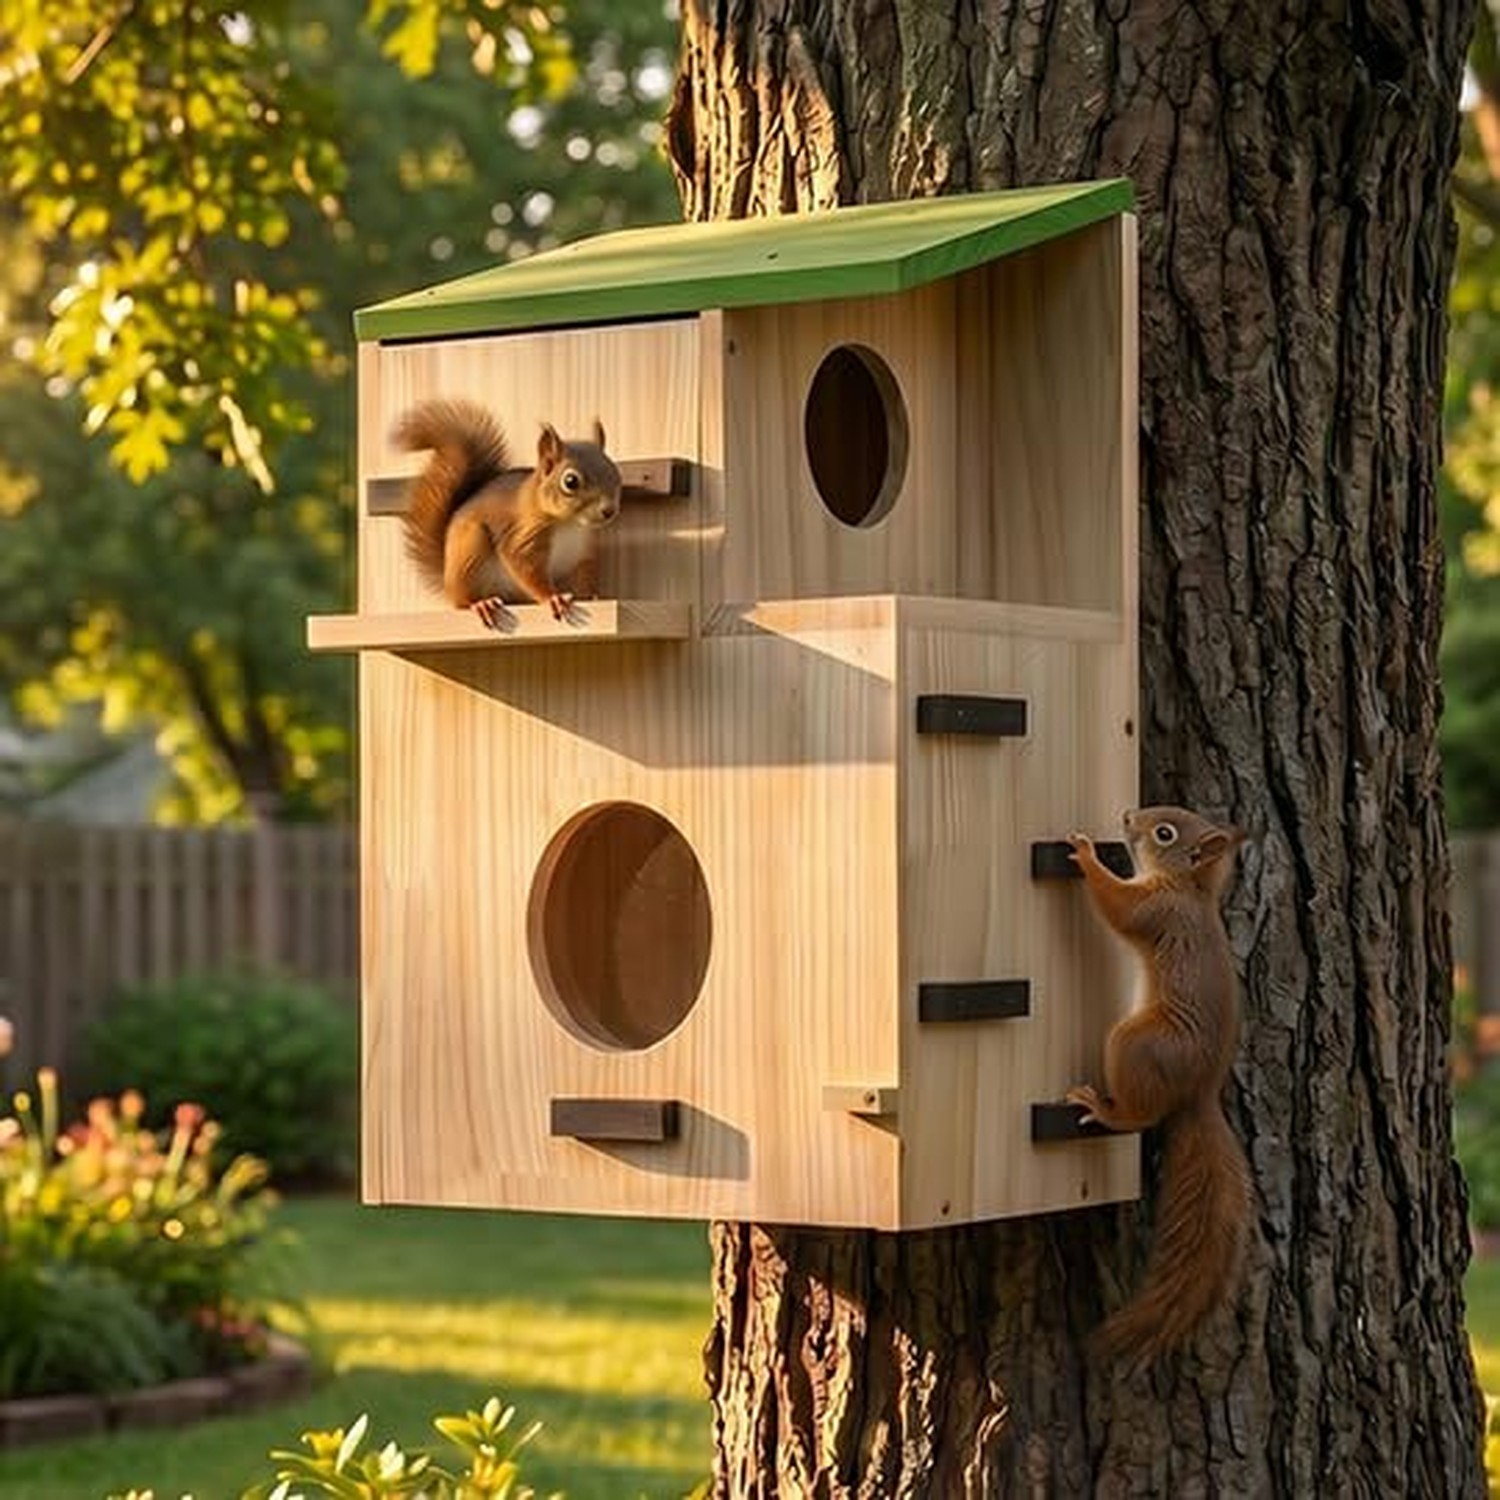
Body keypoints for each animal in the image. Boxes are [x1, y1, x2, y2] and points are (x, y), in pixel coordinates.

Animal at [393, 397, 622, 626]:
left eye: (615, 473)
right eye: (570, 481)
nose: (608, 511)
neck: (569, 523)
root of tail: (446, 574)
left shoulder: (582, 555)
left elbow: (584, 577)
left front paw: (592, 597)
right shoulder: (522, 538)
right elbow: (525, 567)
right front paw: (552, 598)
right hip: (469, 548)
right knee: (461, 600)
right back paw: (480, 604)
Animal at [1064, 806, 1251, 1367]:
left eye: (1165, 833)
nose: (1128, 815)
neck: (1187, 888)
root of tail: (1199, 1096)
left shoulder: (1155, 910)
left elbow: (1118, 906)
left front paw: (1086, 854)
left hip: (1136, 1044)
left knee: (1141, 1116)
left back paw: (1103, 1109)